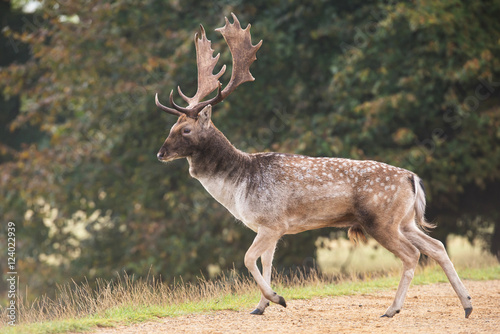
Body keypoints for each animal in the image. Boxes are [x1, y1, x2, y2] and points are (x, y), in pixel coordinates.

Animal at [155, 13, 472, 318]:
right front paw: (260, 306)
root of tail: (412, 178)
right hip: (404, 220)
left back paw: (392, 309)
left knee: (412, 254)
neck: (239, 187)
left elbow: (248, 258)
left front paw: (278, 299)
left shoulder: (272, 222)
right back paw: (467, 304)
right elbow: (266, 262)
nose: (160, 153)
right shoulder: (270, 228)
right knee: (437, 246)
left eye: (186, 130)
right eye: (171, 126)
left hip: (381, 219)